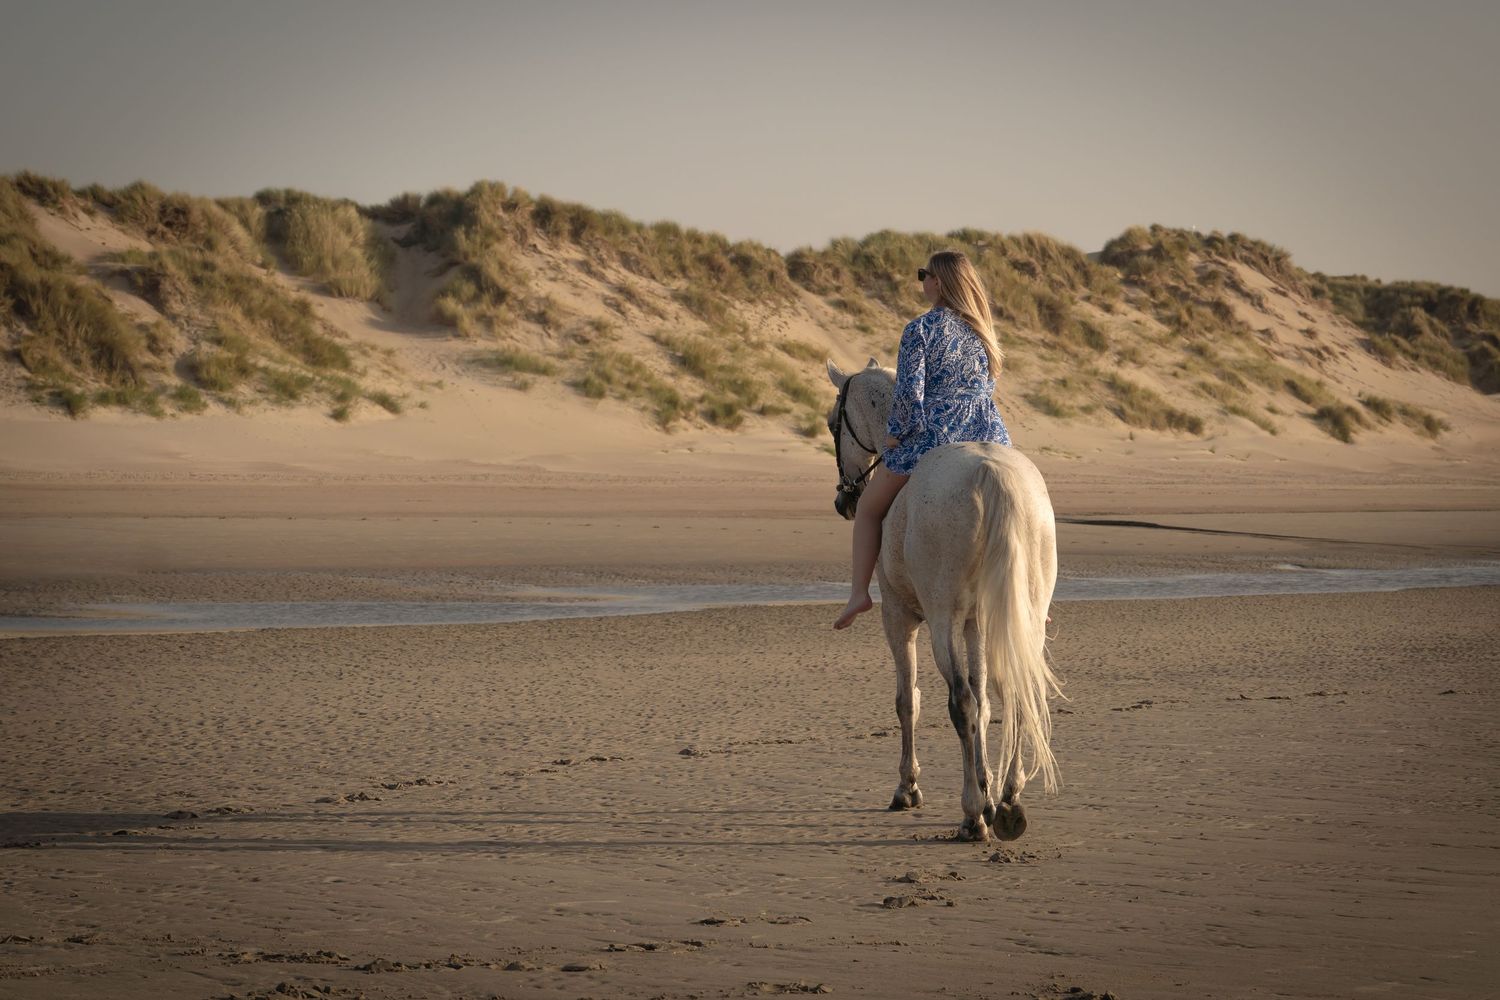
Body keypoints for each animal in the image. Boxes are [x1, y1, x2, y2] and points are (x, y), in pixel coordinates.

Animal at [826, 358, 1063, 842]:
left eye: (831, 423)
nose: (844, 500)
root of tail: (992, 474)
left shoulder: (900, 618)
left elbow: (909, 701)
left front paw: (909, 788)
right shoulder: (976, 624)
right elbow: (987, 699)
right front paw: (988, 788)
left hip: (937, 622)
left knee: (961, 703)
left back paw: (972, 815)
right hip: (1021, 616)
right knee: (1014, 690)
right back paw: (1007, 801)